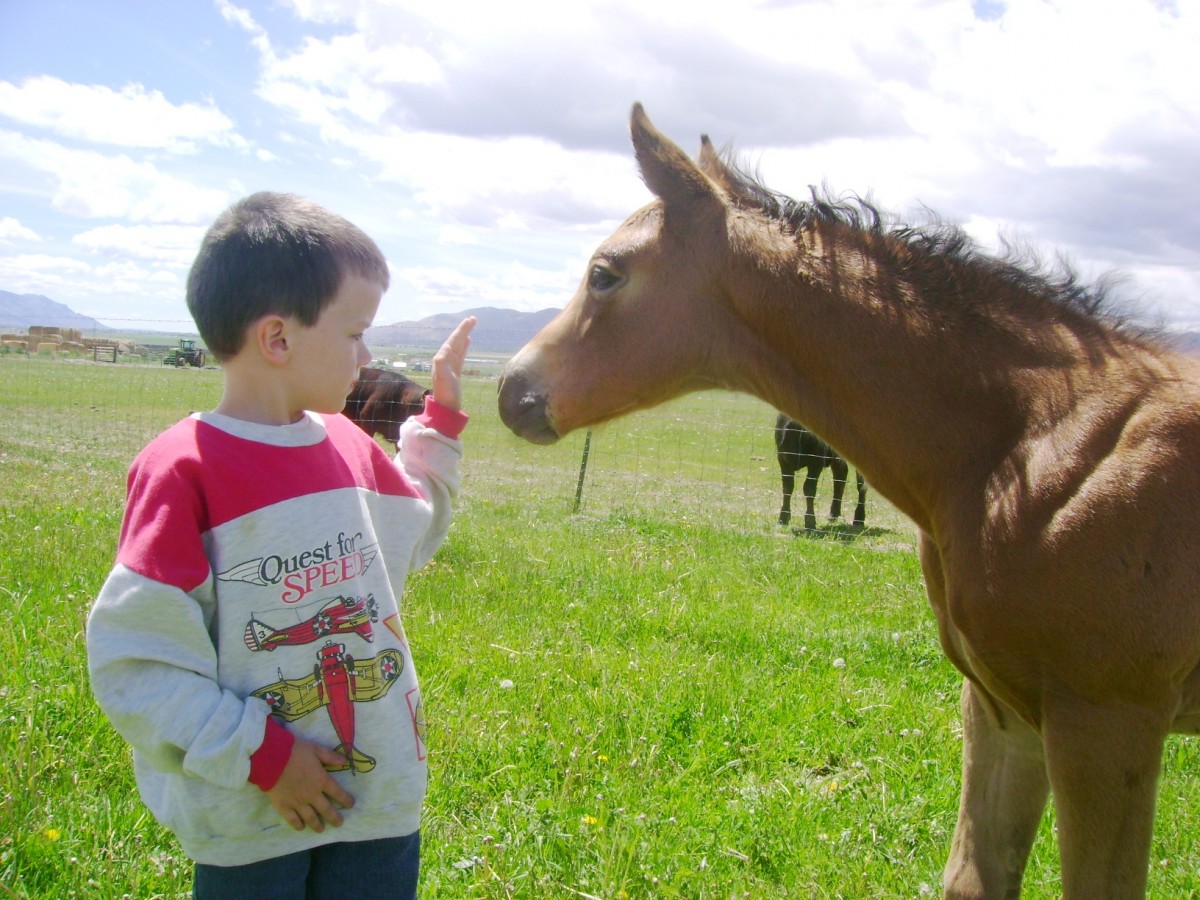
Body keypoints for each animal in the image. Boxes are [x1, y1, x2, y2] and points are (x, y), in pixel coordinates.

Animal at [499, 105, 1200, 900]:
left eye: (604, 274)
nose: (512, 390)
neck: (1038, 443)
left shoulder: (1108, 720)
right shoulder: (1004, 709)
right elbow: (973, 877)